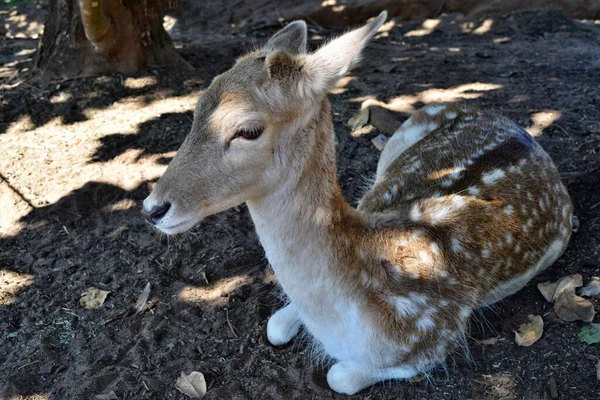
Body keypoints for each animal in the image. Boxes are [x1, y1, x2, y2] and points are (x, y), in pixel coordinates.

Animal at [143, 11, 576, 394]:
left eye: (248, 130)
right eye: (196, 109)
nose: (152, 208)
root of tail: (521, 129)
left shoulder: (437, 338)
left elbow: (339, 376)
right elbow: (276, 326)